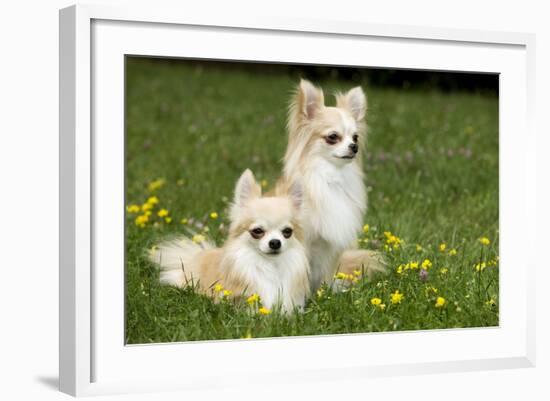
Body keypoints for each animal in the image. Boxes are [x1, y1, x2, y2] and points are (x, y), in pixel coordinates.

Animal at [278, 79, 386, 290]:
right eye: (333, 137)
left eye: (356, 137)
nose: (354, 147)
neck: (330, 178)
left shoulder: (331, 247)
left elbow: (326, 272)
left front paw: (325, 292)